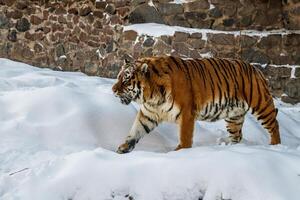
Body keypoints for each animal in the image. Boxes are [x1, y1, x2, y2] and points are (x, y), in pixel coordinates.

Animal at [112, 55, 282, 153]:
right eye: (118, 77)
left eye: (126, 80)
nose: (113, 90)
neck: (152, 97)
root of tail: (256, 69)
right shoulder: (148, 114)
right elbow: (136, 130)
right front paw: (124, 147)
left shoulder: (186, 113)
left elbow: (185, 136)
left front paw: (181, 152)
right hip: (234, 116)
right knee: (237, 135)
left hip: (261, 105)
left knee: (274, 125)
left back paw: (275, 146)